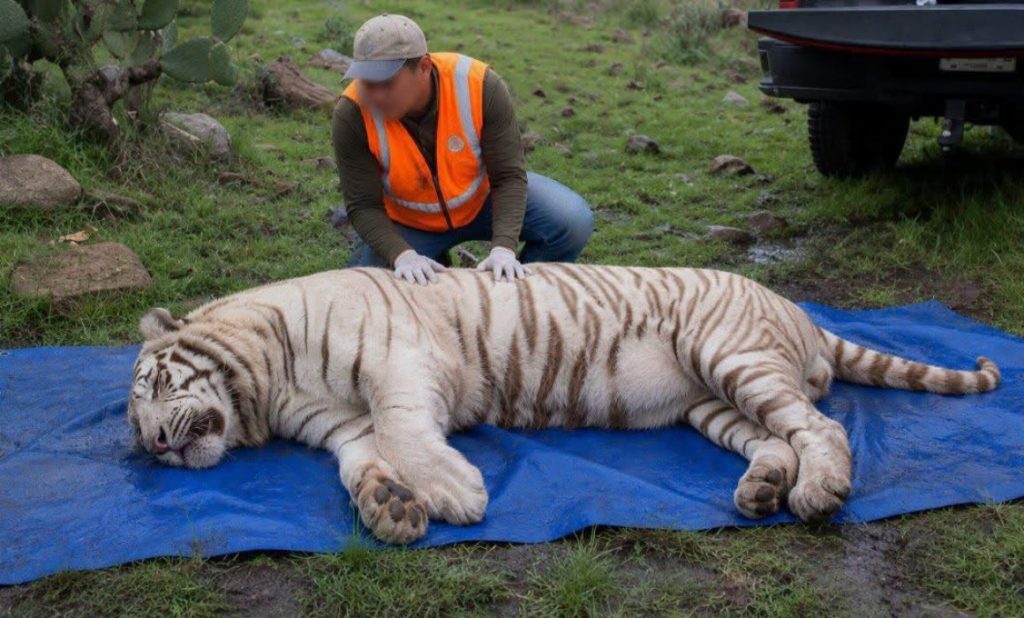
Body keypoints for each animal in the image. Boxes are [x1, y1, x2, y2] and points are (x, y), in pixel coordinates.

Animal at [129, 264, 1000, 544]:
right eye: (136, 434)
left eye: (157, 390)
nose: (157, 449)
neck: (267, 387)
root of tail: (803, 312)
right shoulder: (342, 426)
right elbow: (362, 461)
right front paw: (391, 508)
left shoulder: (398, 362)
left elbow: (403, 430)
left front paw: (453, 494)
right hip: (709, 402)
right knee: (775, 437)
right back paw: (762, 491)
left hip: (729, 355)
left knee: (821, 425)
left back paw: (818, 492)